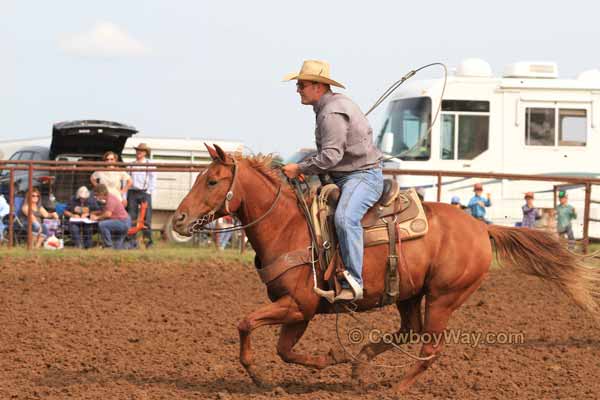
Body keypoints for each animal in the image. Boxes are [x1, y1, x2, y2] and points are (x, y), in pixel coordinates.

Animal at [171, 144, 596, 390]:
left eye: (212, 181)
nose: (178, 219)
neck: (290, 227)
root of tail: (482, 227)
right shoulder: (300, 311)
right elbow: (284, 349)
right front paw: (333, 359)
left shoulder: (298, 305)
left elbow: (246, 325)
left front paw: (260, 376)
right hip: (408, 293)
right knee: (408, 332)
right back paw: (359, 366)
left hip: (443, 297)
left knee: (429, 348)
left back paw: (394, 388)